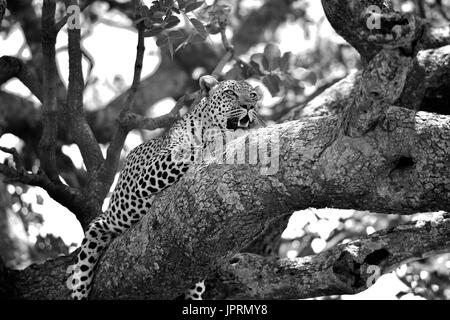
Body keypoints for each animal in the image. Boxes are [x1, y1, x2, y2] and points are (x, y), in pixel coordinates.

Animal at [67, 75, 264, 300]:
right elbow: (196, 149)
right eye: (230, 93)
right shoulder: (152, 171)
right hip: (111, 219)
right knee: (88, 248)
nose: (249, 106)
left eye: (253, 95)